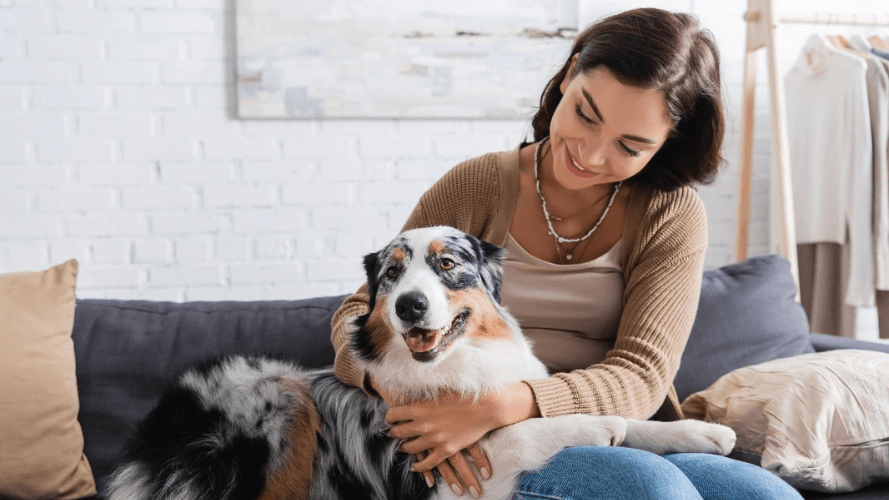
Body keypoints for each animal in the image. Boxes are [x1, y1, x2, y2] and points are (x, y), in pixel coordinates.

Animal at [104, 226, 736, 500]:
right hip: (276, 394)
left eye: (448, 264)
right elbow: (523, 432)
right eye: (391, 273)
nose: (410, 304)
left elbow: (622, 420)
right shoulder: (448, 481)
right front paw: (595, 424)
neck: (456, 366)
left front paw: (700, 432)